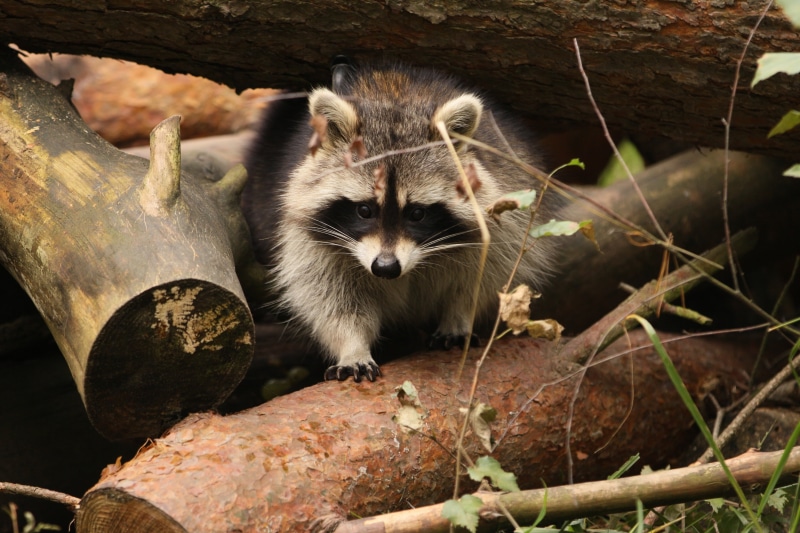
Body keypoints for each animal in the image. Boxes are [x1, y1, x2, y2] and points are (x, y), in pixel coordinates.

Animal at [243, 62, 554, 382]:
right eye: (364, 210)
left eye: (416, 213)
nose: (385, 267)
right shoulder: (307, 235)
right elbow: (327, 295)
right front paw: (352, 346)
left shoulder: (502, 212)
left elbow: (482, 277)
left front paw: (458, 315)